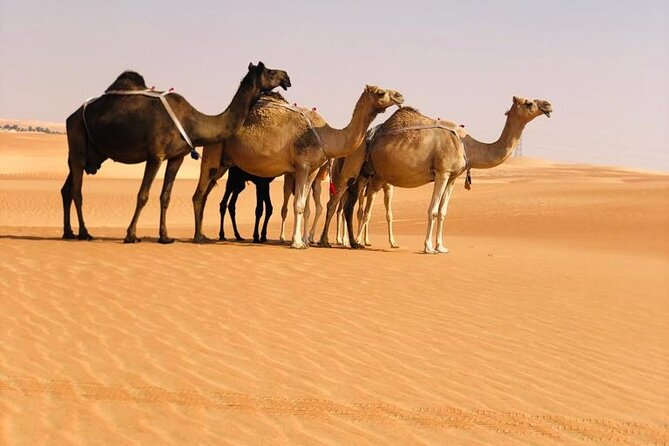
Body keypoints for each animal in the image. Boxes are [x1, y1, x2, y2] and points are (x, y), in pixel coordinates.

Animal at [61, 62, 290, 243]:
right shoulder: (156, 155)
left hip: (89, 152)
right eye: (270, 71)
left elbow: (166, 196)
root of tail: (71, 116)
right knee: (77, 191)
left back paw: (68, 232)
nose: (287, 77)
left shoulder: (176, 157)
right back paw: (84, 233)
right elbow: (143, 195)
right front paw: (130, 235)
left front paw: (164, 237)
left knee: (67, 189)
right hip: (77, 138)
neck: (192, 122)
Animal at [192, 85, 404, 248]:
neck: (327, 136)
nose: (400, 96)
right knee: (199, 194)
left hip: (224, 163)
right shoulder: (302, 165)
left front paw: (303, 241)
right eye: (380, 92)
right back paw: (198, 237)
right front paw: (297, 243)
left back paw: (203, 235)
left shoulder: (312, 170)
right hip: (213, 152)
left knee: (206, 193)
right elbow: (299, 204)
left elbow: (304, 204)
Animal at [341, 96, 552, 253]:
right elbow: (433, 210)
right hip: (360, 171)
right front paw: (428, 247)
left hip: (374, 175)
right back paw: (354, 242)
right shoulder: (442, 172)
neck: (467, 145)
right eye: (529, 103)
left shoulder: (452, 177)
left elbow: (443, 212)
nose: (548, 105)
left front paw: (441, 247)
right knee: (352, 206)